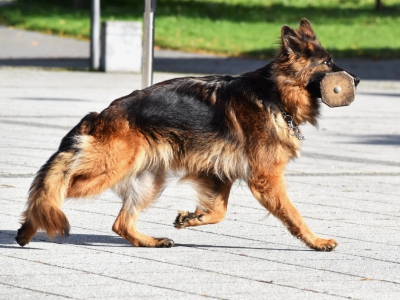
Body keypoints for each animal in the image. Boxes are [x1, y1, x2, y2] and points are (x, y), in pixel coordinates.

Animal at [14, 18, 360, 251]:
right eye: (327, 62)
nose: (356, 79)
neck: (273, 94)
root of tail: (101, 115)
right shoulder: (266, 178)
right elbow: (293, 214)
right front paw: (317, 241)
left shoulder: (218, 173)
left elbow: (218, 211)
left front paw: (191, 219)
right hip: (108, 170)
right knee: (54, 190)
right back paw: (29, 227)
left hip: (150, 180)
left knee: (120, 222)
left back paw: (150, 241)